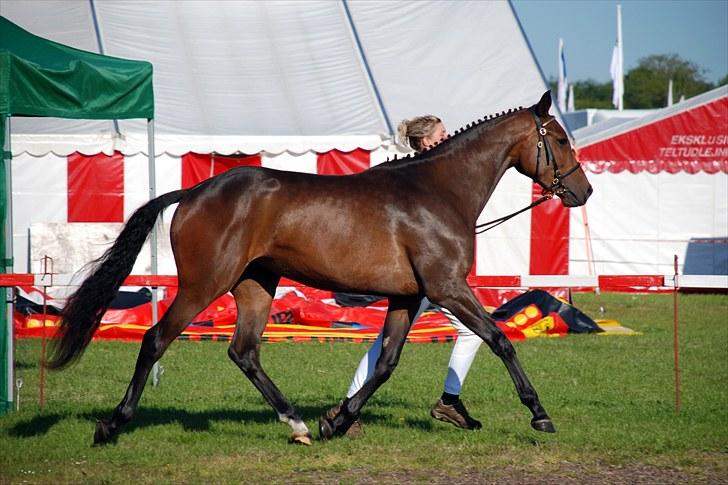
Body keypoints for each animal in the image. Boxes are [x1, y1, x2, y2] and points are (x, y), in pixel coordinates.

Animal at [45, 89, 592, 444]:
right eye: (561, 139)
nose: (583, 191)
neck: (436, 191)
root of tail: (195, 190)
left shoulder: (408, 297)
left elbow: (386, 363)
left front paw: (338, 420)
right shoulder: (447, 289)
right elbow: (500, 339)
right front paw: (539, 414)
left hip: (256, 286)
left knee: (244, 352)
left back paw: (299, 424)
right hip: (204, 285)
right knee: (156, 339)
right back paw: (112, 424)